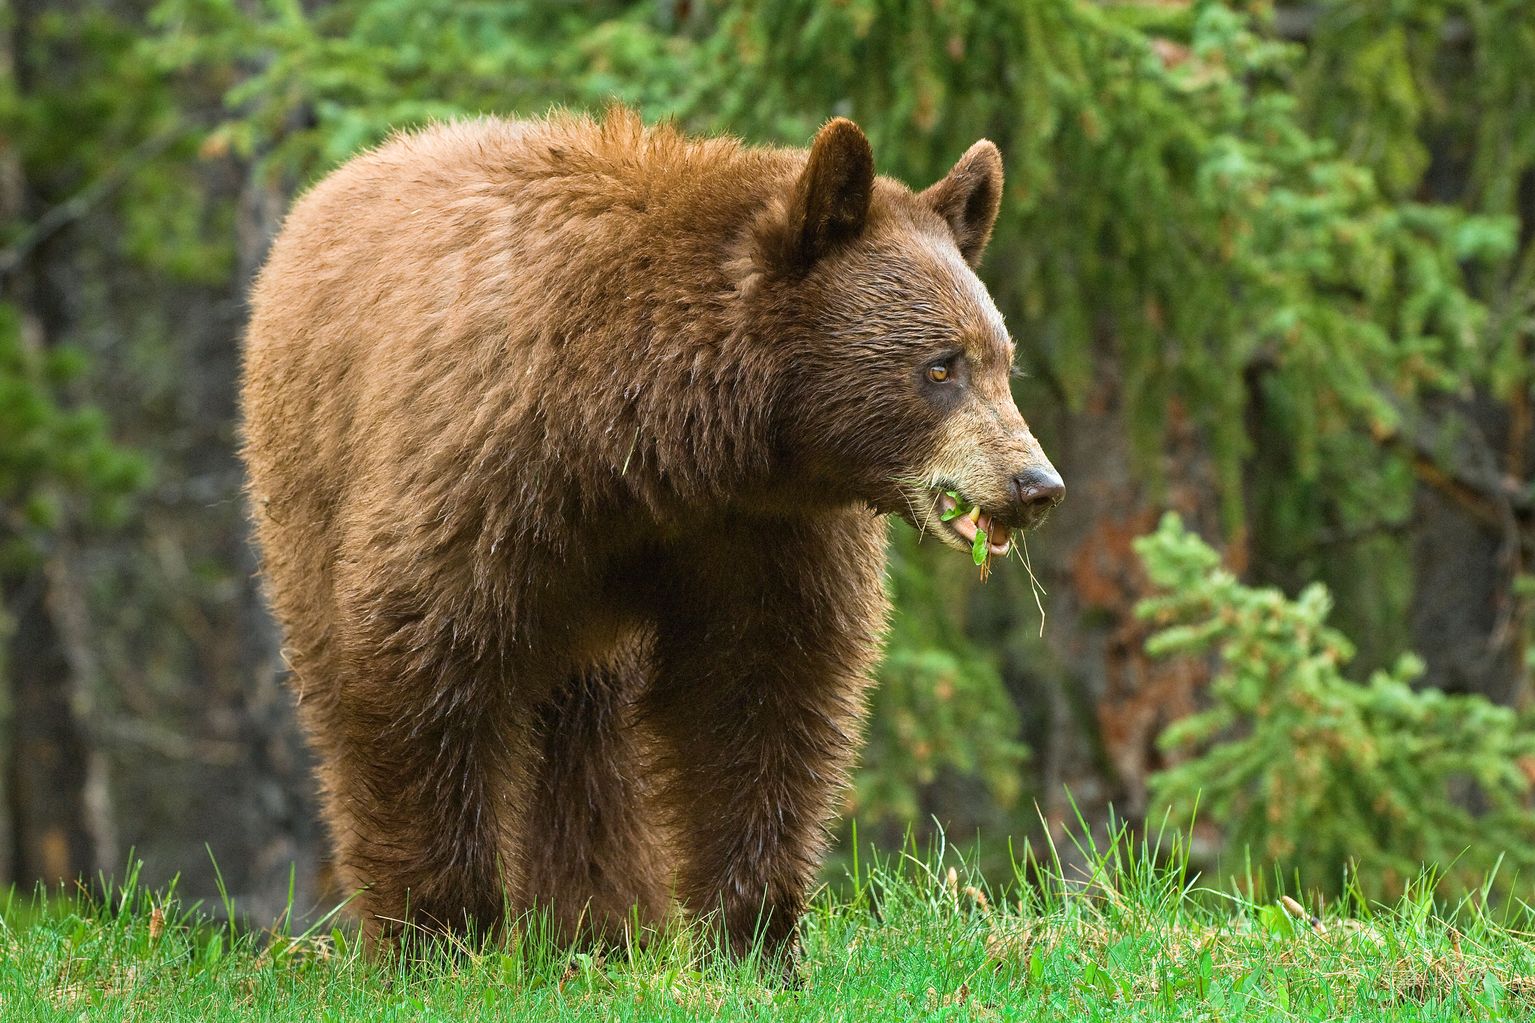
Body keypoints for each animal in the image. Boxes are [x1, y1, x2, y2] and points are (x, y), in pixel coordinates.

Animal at [240, 108, 1063, 966]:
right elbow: (423, 662)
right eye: (939, 366)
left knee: (590, 727)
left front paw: (753, 930)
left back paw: (600, 920)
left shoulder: (762, 532)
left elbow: (761, 687)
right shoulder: (483, 470)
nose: (1034, 484)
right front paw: (439, 931)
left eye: (1002, 362)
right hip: (307, 481)